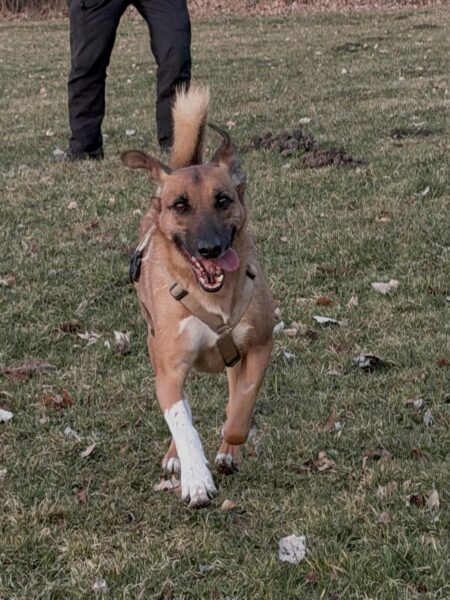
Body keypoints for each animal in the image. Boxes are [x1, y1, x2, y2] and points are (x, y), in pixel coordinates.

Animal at [122, 85, 273, 508]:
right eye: (181, 205)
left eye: (223, 199)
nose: (209, 249)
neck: (211, 298)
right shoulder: (169, 366)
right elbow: (182, 421)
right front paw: (196, 479)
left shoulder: (259, 345)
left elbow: (240, 406)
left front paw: (229, 447)